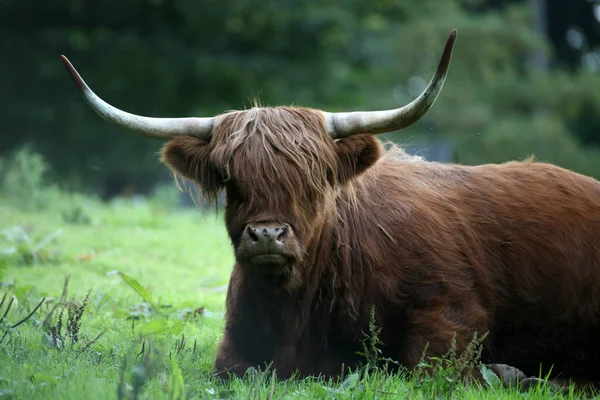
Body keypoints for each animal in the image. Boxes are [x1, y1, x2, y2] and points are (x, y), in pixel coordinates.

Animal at [59, 31, 600, 388]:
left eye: (313, 176)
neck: (295, 310)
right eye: (233, 180)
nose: (268, 235)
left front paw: (510, 372)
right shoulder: (236, 350)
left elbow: (431, 369)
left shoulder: (450, 311)